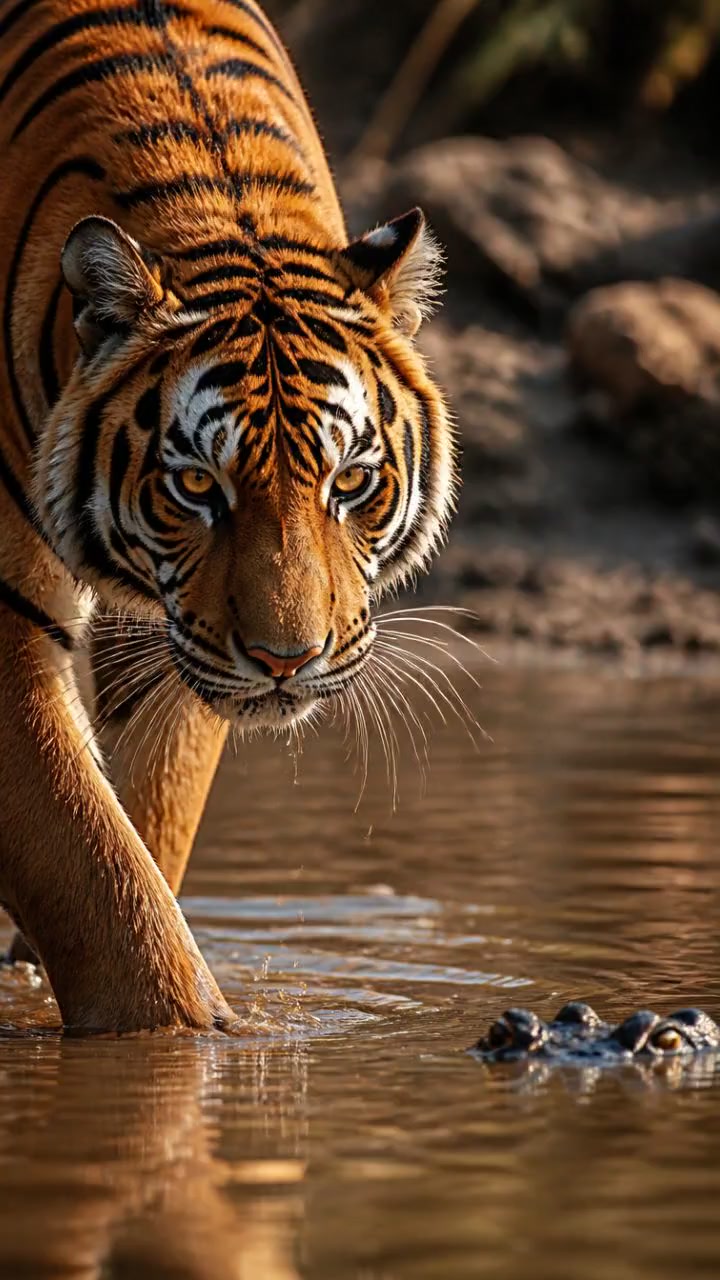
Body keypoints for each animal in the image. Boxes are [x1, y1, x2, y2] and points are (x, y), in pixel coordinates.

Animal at [0, 0, 456, 1032]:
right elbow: (96, 869)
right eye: (198, 487)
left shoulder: (173, 643)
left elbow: (147, 822)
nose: (288, 661)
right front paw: (185, 1037)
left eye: (350, 482)